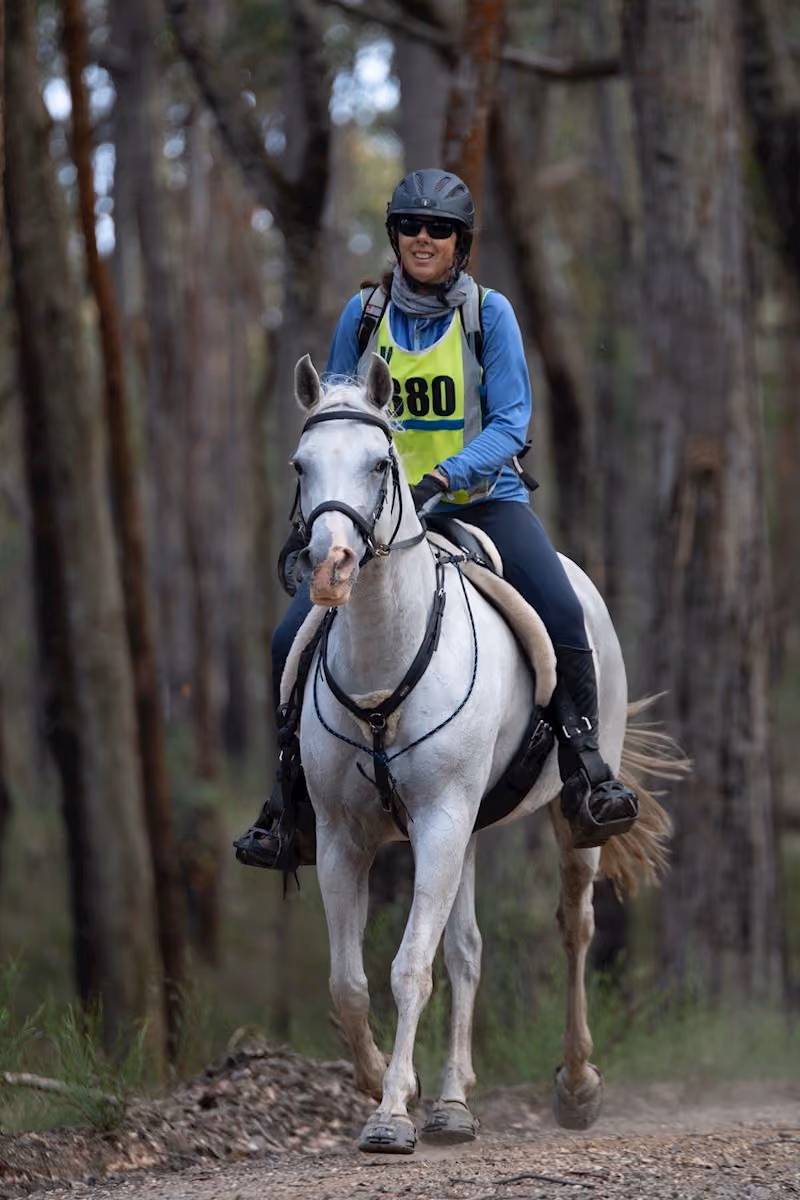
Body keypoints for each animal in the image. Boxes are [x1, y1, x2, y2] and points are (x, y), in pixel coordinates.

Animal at [286, 351, 681, 1154]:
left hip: (560, 818)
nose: (331, 564)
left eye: (381, 463)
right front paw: (379, 1083)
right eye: (301, 465)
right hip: (464, 831)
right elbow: (351, 981)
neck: (384, 662)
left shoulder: (440, 818)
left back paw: (577, 1085)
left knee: (574, 928)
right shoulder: (345, 835)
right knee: (466, 951)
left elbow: (409, 967)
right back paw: (452, 1103)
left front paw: (389, 1114)